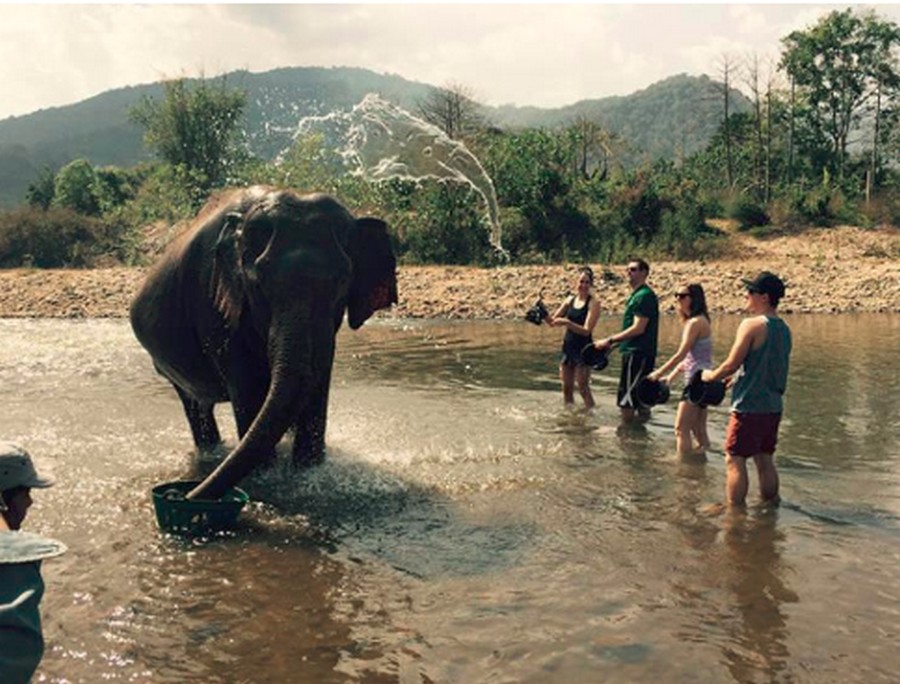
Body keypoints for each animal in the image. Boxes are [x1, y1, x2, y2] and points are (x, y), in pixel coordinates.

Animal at [130, 184, 398, 500]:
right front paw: (266, 476)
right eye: (259, 283)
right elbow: (247, 385)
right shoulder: (214, 304)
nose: (185, 496)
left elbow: (316, 381)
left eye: (343, 281)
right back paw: (211, 453)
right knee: (196, 407)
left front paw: (308, 472)